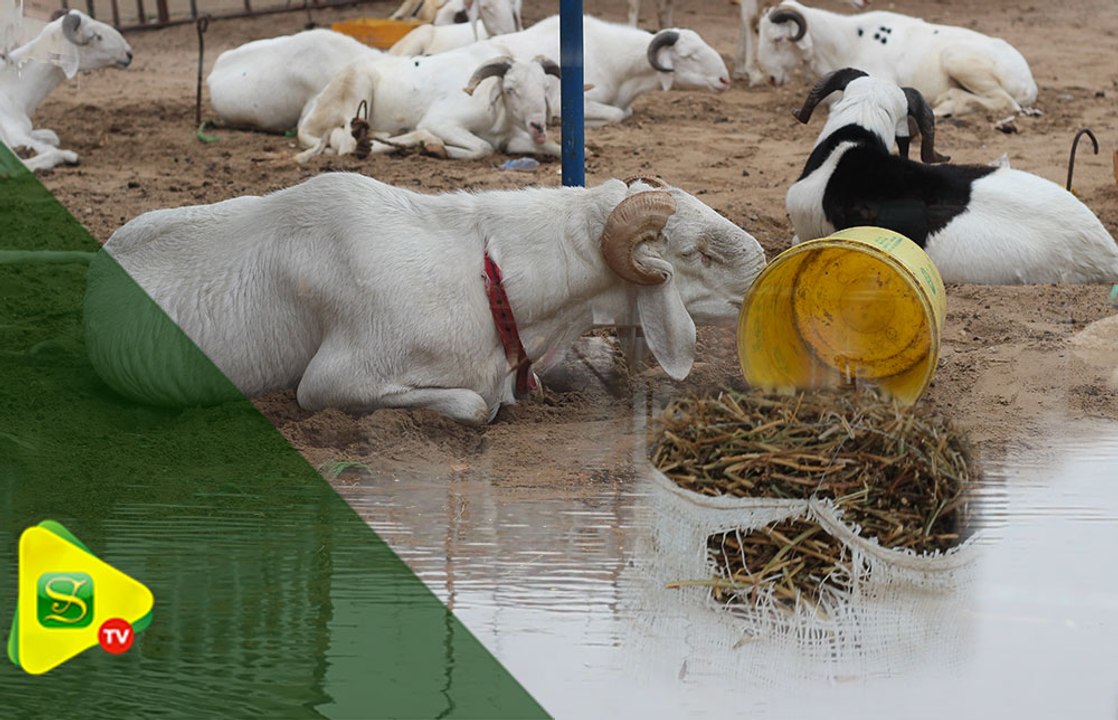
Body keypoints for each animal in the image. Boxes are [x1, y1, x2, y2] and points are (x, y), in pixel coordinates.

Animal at [0, 10, 132, 172]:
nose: (129, 54)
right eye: (96, 36)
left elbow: (53, 136)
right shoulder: (14, 134)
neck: (12, 92)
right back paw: (70, 156)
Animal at [295, 44, 563, 162]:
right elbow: (482, 148)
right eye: (510, 89)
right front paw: (438, 149)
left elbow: (554, 147)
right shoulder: (440, 121)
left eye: (545, 87)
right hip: (358, 86)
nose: (538, 126)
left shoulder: (509, 139)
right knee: (347, 145)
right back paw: (420, 141)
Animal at [758, 1, 1037, 117]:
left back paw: (947, 104)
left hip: (957, 58)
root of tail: (1029, 82)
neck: (846, 41)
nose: (769, 77)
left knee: (1006, 102)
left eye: (778, 40)